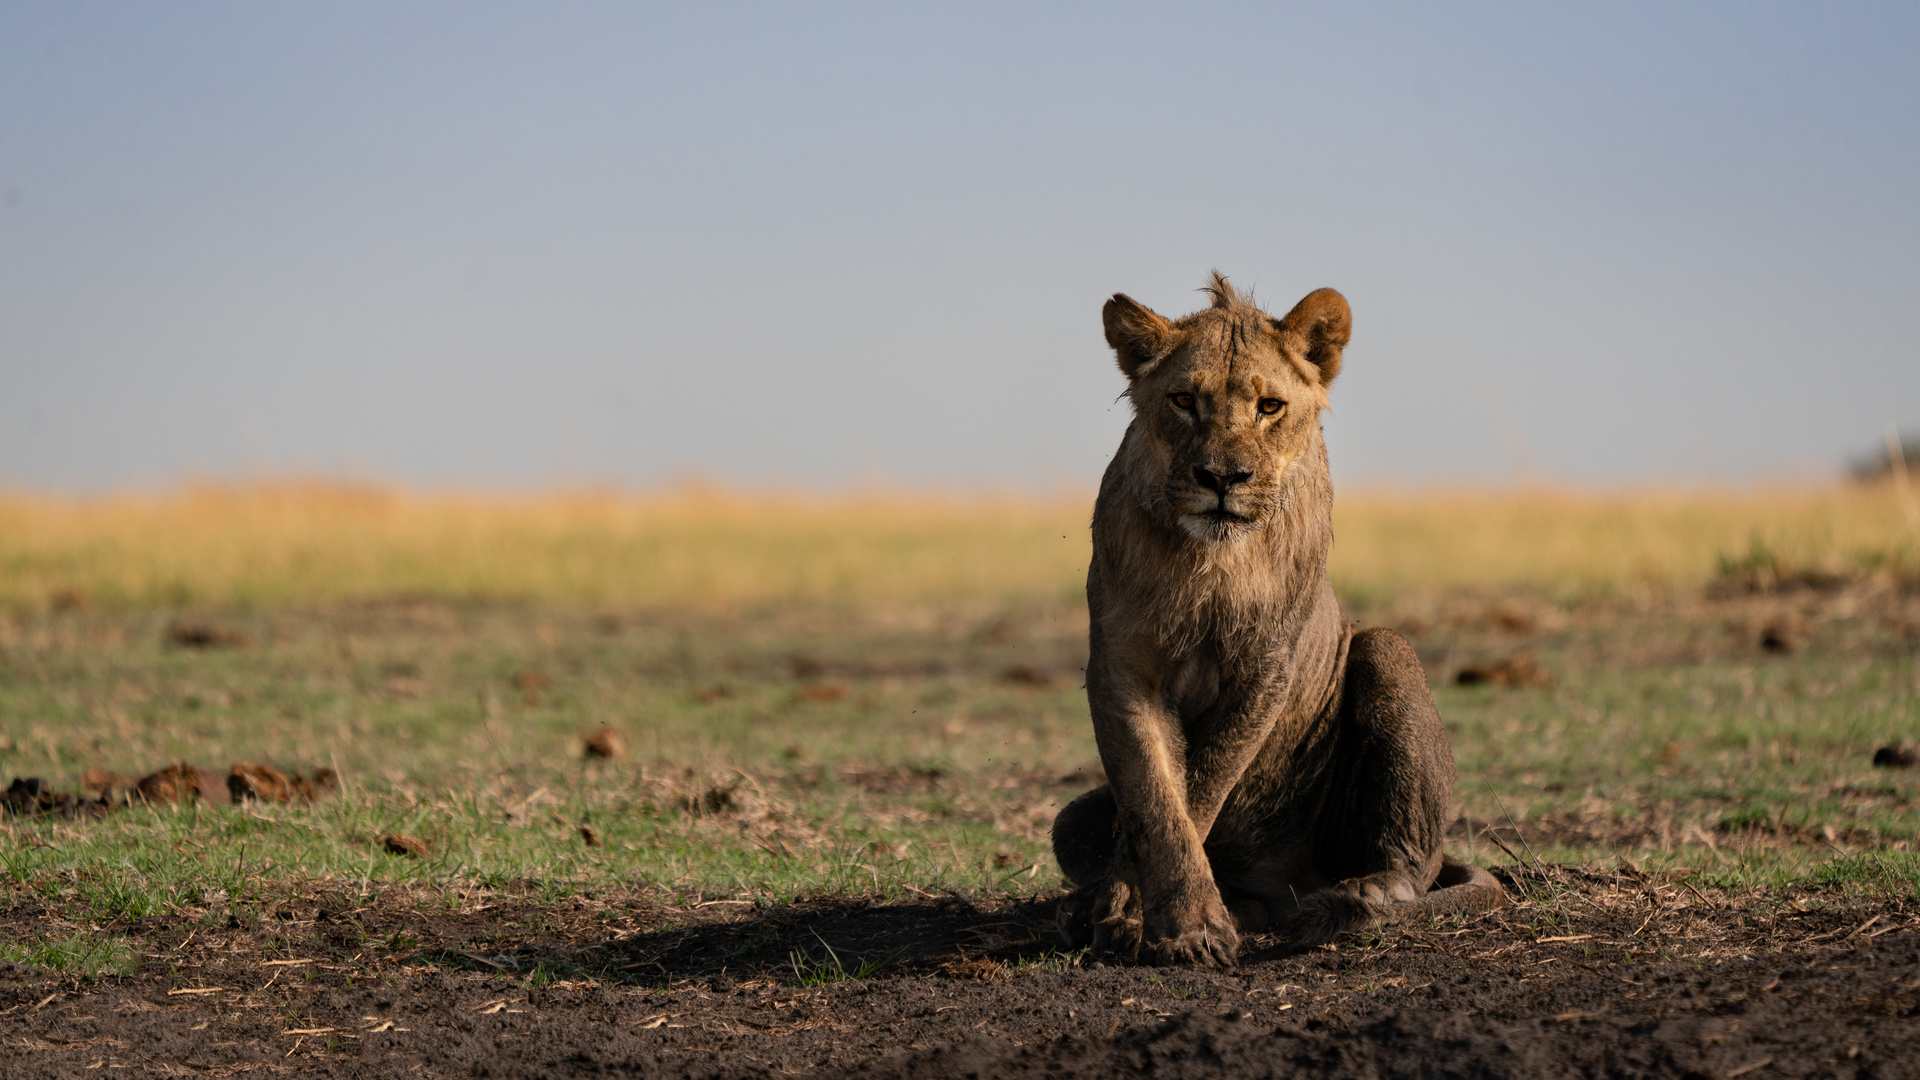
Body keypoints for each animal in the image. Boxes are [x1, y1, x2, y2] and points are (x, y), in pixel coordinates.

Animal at [1052, 270, 1497, 968]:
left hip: (1387, 651)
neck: (1211, 561)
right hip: (1069, 821)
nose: (1221, 478)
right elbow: (1155, 800)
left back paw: (1360, 897)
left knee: (1412, 865)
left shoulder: (1266, 669)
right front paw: (1153, 917)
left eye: (1269, 407)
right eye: (1183, 400)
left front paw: (1162, 923)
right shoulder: (1123, 668)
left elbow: (1202, 786)